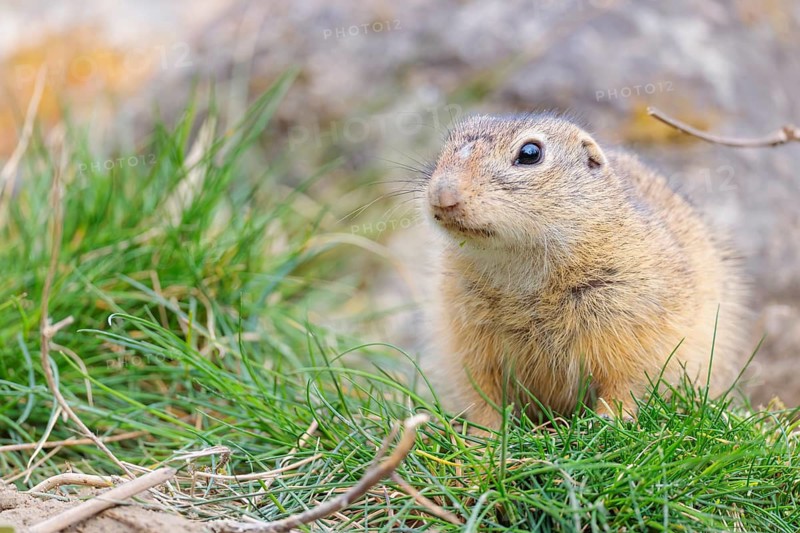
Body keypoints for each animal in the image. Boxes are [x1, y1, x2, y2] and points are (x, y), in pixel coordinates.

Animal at [420, 112, 746, 430]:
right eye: (447, 145)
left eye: (530, 153)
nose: (443, 195)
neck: (521, 266)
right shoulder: (468, 338)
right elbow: (482, 394)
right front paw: (483, 435)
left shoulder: (633, 328)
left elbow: (627, 382)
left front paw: (609, 420)